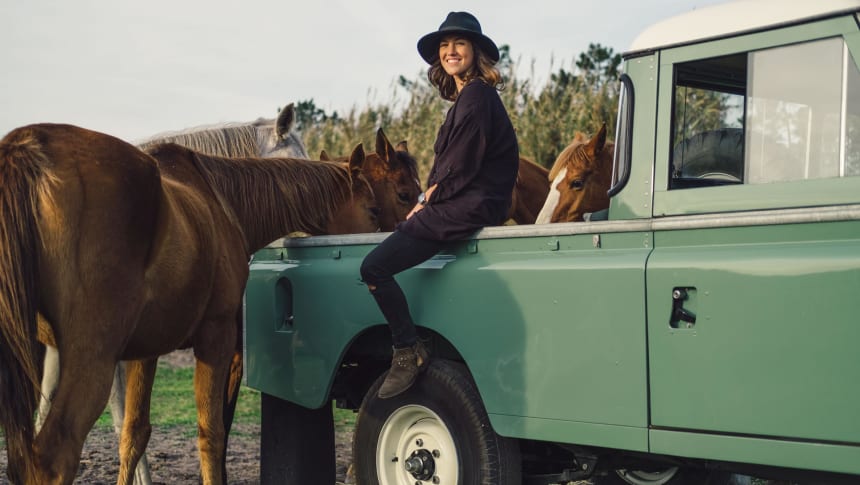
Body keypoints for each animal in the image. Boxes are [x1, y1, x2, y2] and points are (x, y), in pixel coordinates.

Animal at [0, 122, 378, 484]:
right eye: (372, 209)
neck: (221, 200)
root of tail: (27, 150)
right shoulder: (218, 339)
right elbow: (213, 433)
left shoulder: (146, 350)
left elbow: (134, 431)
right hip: (91, 357)